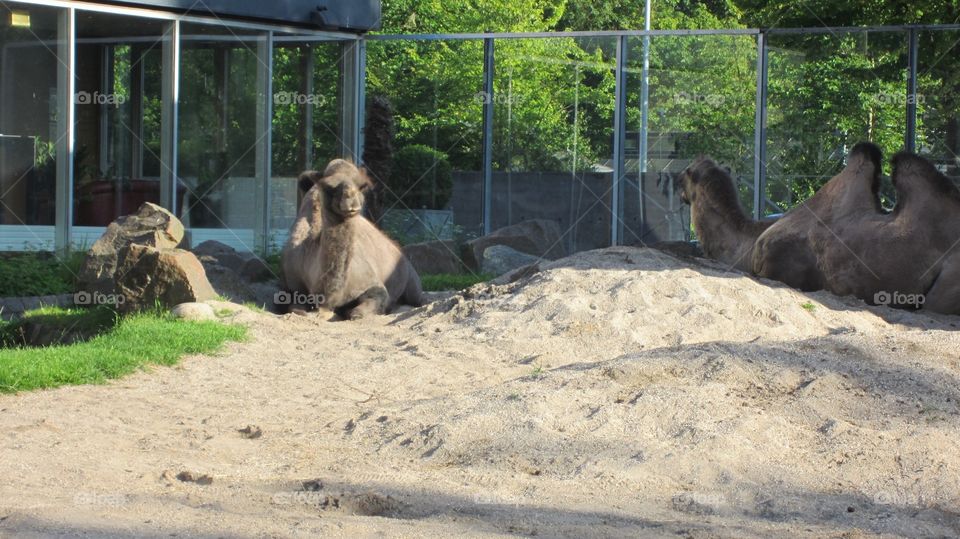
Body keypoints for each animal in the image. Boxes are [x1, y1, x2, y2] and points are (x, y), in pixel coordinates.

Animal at [285, 159, 425, 319]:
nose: (350, 201)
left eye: (362, 186)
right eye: (327, 186)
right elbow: (296, 308)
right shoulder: (294, 287)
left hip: (412, 280)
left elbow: (357, 312)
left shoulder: (372, 283)